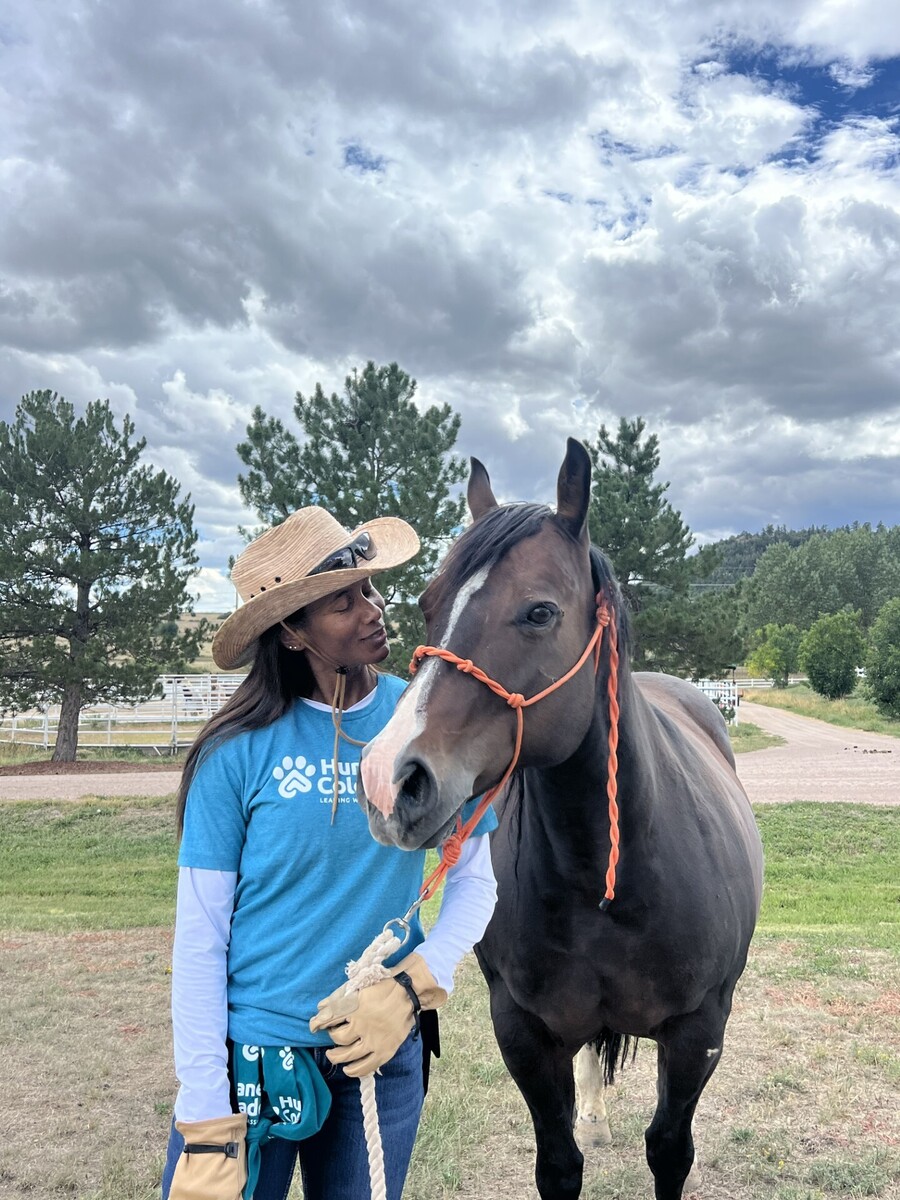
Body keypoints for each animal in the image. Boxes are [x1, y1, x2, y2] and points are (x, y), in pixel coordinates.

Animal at [359, 438, 764, 1200]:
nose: (388, 779)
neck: (605, 883)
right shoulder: (524, 1032)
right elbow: (559, 1162)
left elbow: (670, 1149)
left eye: (540, 612)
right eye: (426, 605)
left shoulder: (699, 1033)